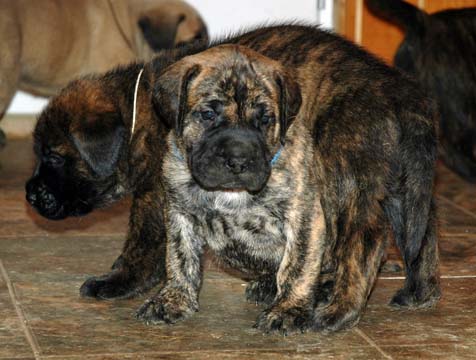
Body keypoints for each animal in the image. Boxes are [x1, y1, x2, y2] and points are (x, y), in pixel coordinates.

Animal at [136, 38, 440, 334]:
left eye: (265, 119)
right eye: (208, 114)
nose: (238, 160)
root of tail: (404, 93)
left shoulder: (304, 216)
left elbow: (297, 266)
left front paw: (288, 310)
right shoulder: (179, 212)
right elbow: (180, 258)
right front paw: (173, 300)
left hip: (346, 184)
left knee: (363, 246)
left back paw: (337, 308)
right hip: (405, 191)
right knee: (422, 234)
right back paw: (418, 292)